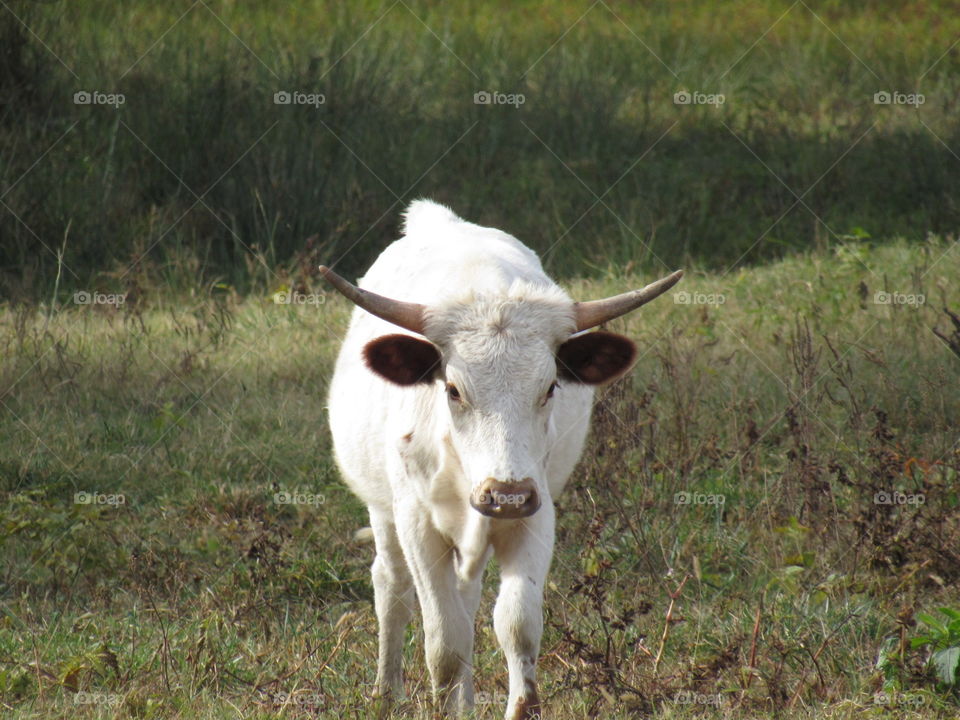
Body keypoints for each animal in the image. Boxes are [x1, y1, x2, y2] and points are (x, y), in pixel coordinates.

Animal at [324, 200, 684, 716]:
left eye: (550, 387)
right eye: (453, 390)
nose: (505, 494)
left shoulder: (537, 512)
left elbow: (516, 625)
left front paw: (515, 704)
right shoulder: (417, 522)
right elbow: (444, 643)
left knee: (467, 597)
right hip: (383, 509)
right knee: (391, 587)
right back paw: (386, 692)